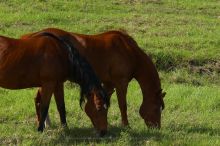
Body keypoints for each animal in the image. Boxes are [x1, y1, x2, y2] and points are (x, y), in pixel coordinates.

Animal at [21, 28, 166, 128]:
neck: (128, 51)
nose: (157, 127)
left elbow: (106, 102)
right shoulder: (121, 83)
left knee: (39, 99)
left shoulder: (108, 84)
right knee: (40, 99)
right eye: (157, 107)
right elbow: (123, 105)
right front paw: (126, 125)